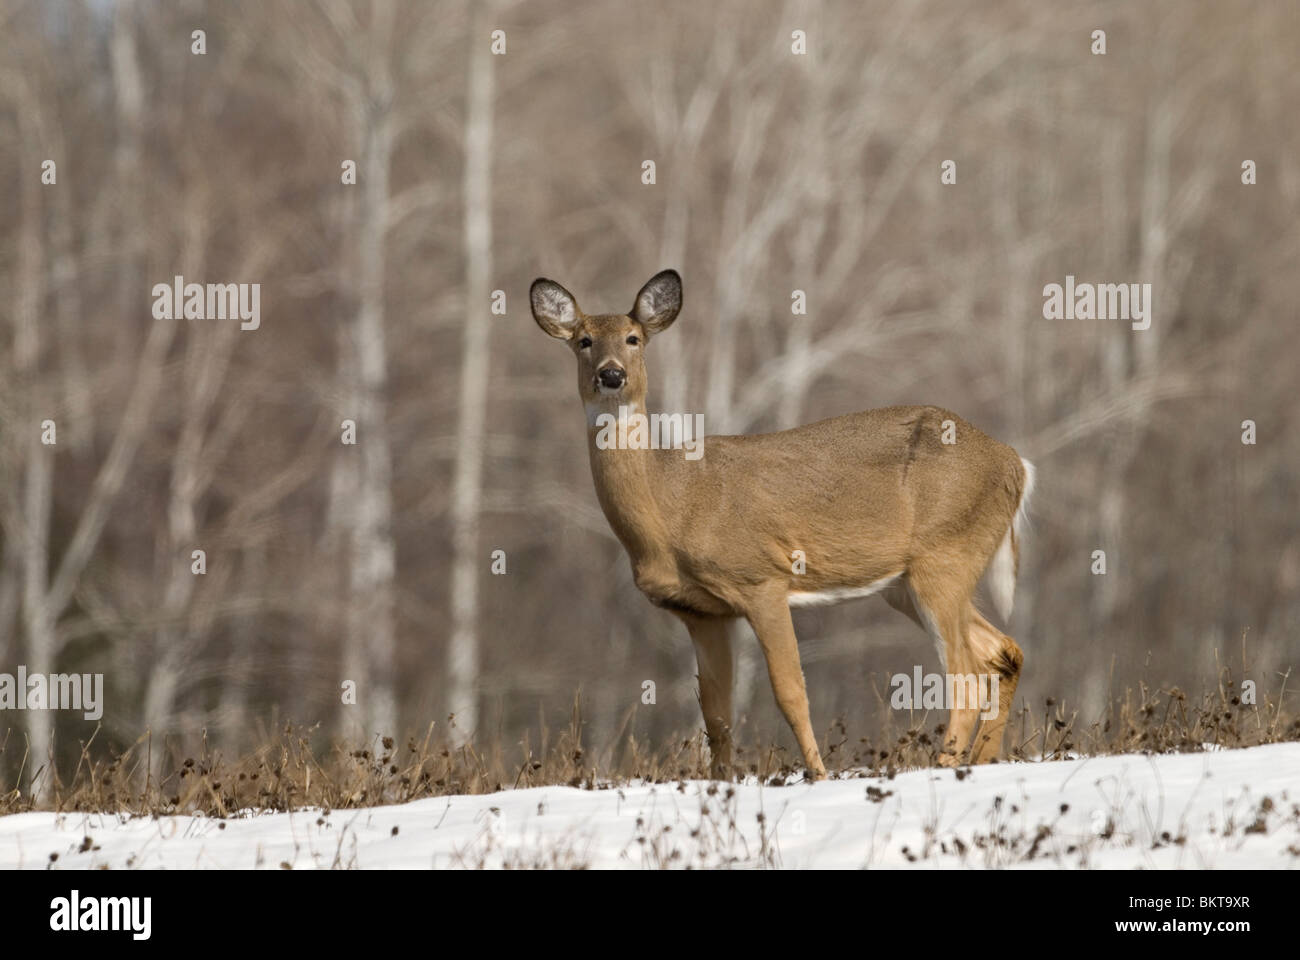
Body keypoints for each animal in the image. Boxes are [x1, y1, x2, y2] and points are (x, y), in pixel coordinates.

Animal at [527, 269, 1034, 780]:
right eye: (584, 340)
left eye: (634, 338)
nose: (611, 374)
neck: (673, 505)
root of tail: (1015, 463)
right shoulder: (701, 612)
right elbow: (716, 716)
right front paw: (720, 783)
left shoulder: (760, 580)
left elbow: (790, 693)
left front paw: (818, 777)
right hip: (906, 583)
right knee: (1003, 652)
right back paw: (983, 761)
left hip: (944, 555)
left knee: (967, 674)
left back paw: (947, 765)